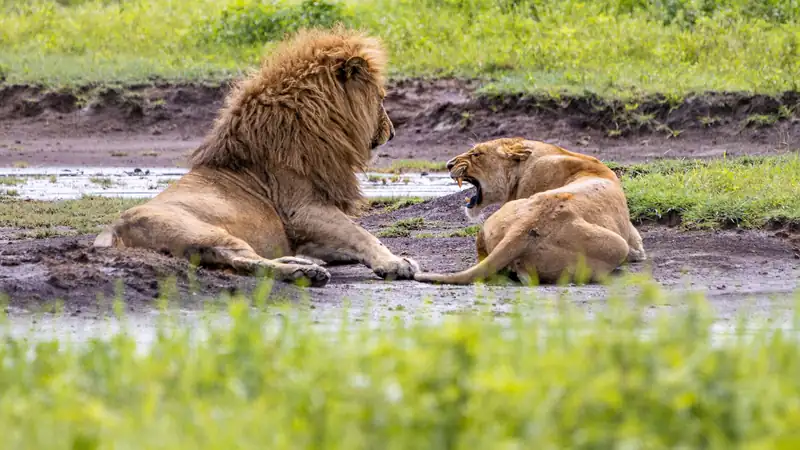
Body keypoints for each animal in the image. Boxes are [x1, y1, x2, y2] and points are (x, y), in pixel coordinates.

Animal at [93, 27, 420, 288]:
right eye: (380, 98)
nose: (392, 133)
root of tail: (114, 230)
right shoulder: (303, 210)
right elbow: (361, 234)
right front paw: (394, 262)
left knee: (241, 262)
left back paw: (303, 264)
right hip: (204, 232)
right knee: (244, 261)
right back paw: (305, 273)